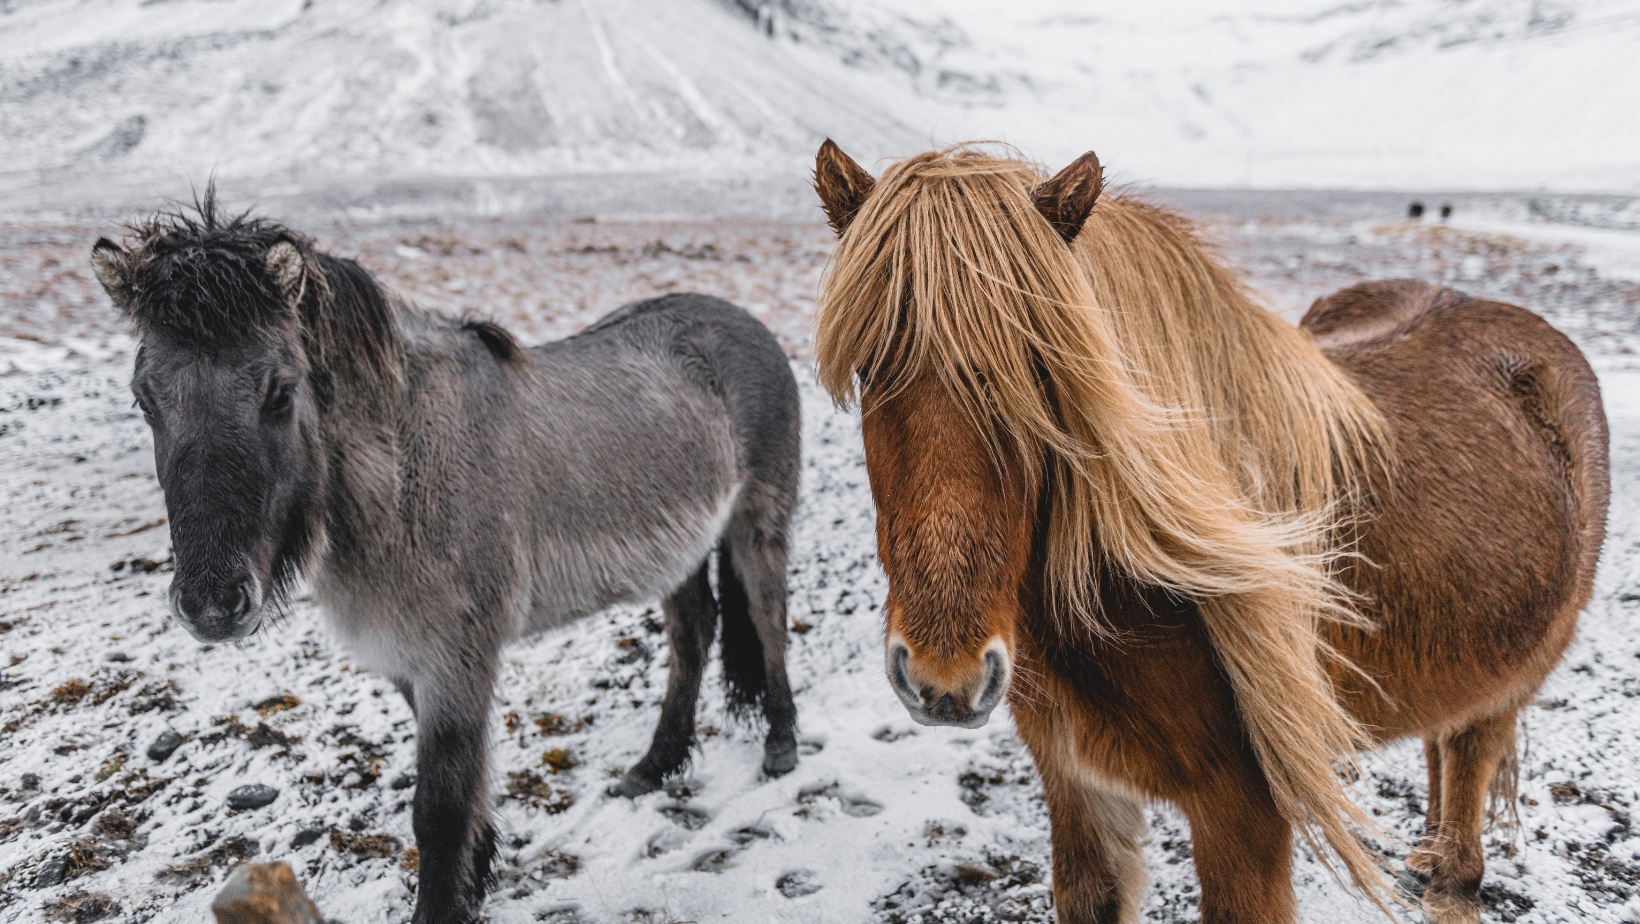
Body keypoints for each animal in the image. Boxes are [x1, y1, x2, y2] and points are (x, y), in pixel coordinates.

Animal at [89, 194, 802, 924]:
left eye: (280, 391)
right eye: (144, 398)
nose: (212, 604)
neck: (404, 474)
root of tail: (745, 324)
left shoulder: (456, 659)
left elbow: (438, 809)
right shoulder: (411, 663)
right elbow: (467, 787)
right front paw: (478, 869)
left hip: (758, 520)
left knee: (767, 616)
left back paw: (780, 743)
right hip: (679, 550)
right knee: (694, 635)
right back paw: (653, 766)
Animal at [811, 142, 1608, 924]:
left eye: (1040, 372)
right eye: (869, 368)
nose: (944, 679)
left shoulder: (1244, 811)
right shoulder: (1076, 784)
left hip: (1505, 693)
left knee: (1464, 818)